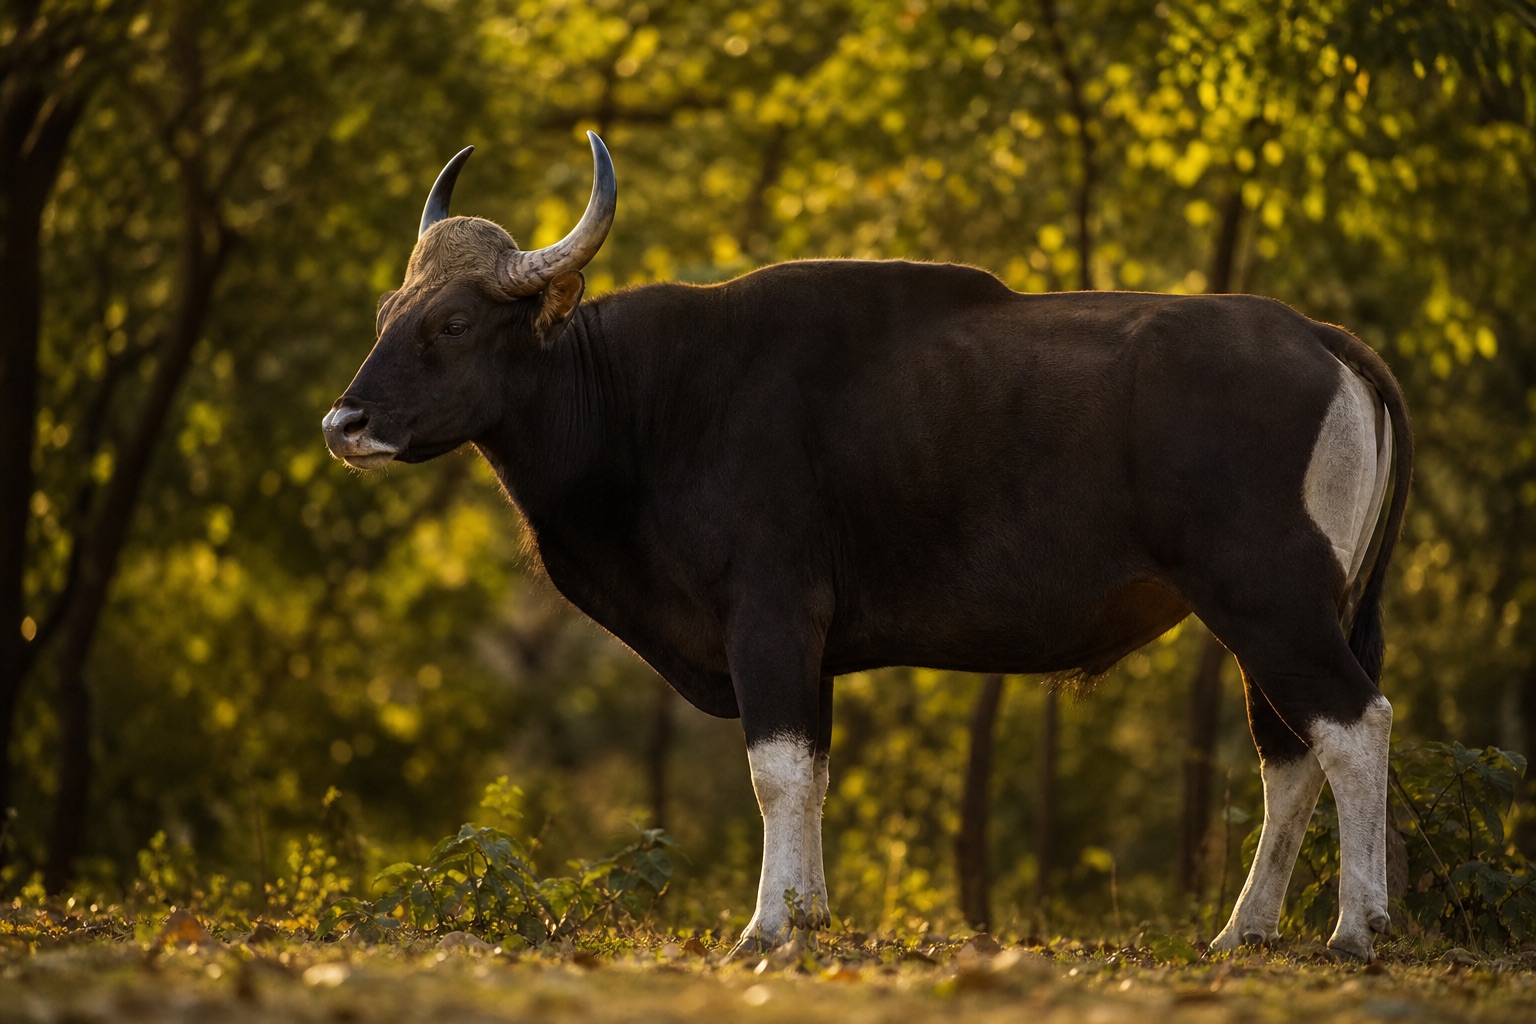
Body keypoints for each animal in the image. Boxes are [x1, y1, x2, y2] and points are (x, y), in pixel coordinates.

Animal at [322, 133, 1411, 962]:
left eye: (453, 322)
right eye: (384, 315)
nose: (345, 421)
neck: (647, 400)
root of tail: (1320, 337)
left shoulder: (768, 615)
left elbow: (774, 770)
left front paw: (767, 927)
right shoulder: (809, 646)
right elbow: (810, 766)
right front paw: (807, 915)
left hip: (1268, 598)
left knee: (1355, 724)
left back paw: (1357, 927)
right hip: (1277, 610)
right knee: (1288, 749)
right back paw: (1246, 931)